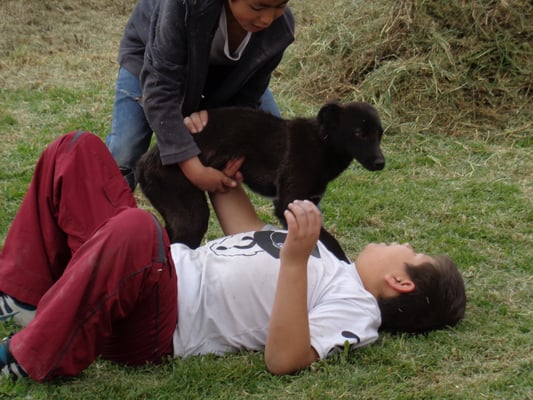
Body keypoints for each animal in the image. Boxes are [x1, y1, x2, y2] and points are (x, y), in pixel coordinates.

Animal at [136, 101, 385, 262]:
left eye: (380, 134)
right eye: (359, 133)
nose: (381, 163)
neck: (322, 143)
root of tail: (145, 161)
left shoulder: (306, 203)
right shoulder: (288, 204)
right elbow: (329, 242)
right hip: (191, 216)